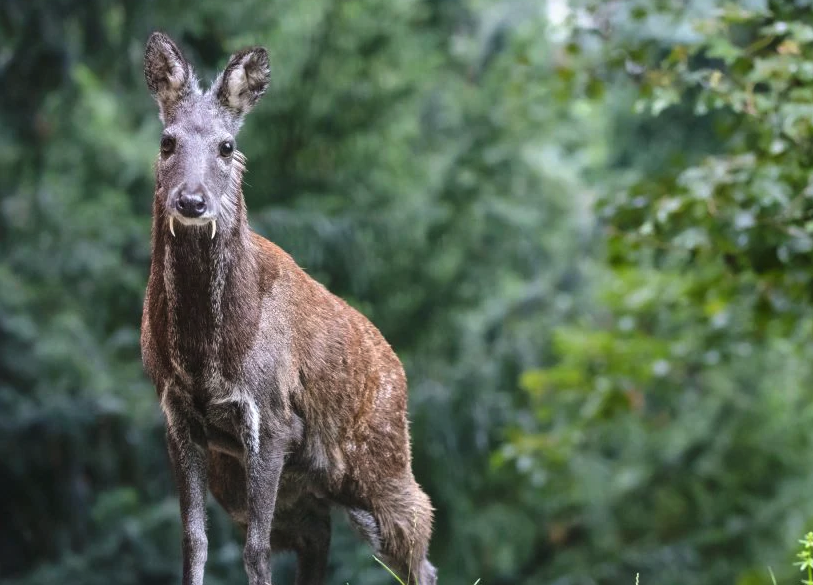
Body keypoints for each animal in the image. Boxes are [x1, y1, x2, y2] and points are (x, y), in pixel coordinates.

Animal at [138, 30, 438, 584]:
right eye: (167, 141)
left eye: (227, 146)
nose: (191, 201)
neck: (204, 355)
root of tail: (396, 364)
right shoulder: (177, 416)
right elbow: (194, 542)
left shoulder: (272, 415)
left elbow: (254, 549)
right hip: (276, 484)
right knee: (318, 540)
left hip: (383, 459)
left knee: (420, 551)